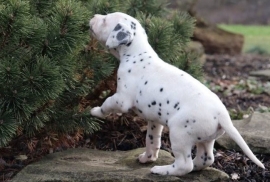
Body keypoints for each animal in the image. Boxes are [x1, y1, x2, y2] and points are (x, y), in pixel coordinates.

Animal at [88, 11, 264, 176]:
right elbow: (152, 140)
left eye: (105, 20)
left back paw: (162, 170)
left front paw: (95, 111)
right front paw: (147, 157)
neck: (137, 54)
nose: (94, 16)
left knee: (184, 165)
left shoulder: (121, 99)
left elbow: (107, 103)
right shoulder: (154, 121)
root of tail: (222, 115)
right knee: (205, 159)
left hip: (179, 134)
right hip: (206, 140)